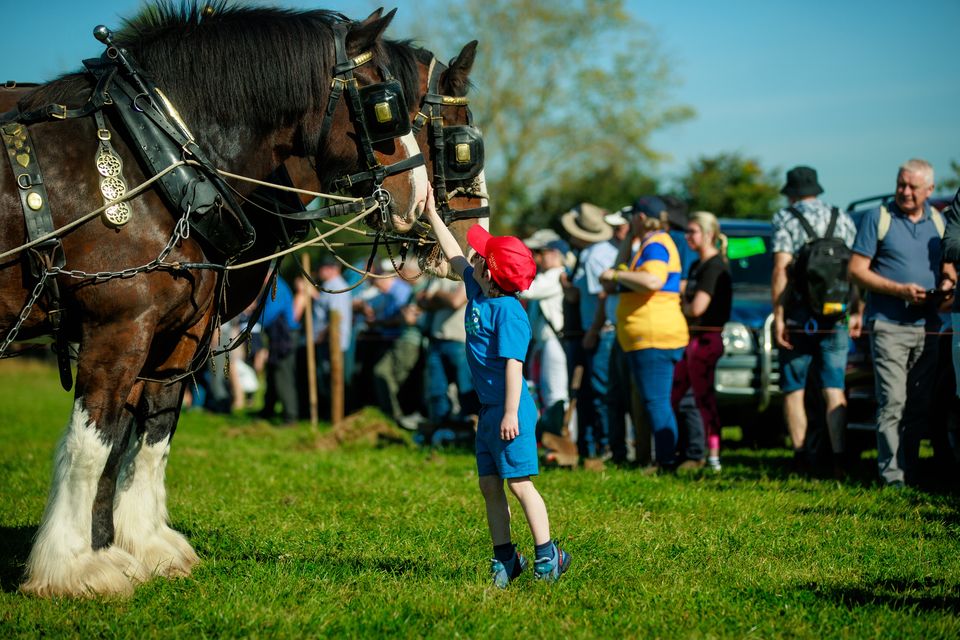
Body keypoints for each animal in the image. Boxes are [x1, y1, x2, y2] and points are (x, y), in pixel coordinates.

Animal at [0, 3, 428, 596]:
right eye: (384, 105)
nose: (422, 198)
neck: (156, 147)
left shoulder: (178, 332)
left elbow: (150, 431)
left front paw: (140, 545)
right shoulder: (119, 327)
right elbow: (93, 440)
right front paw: (73, 566)